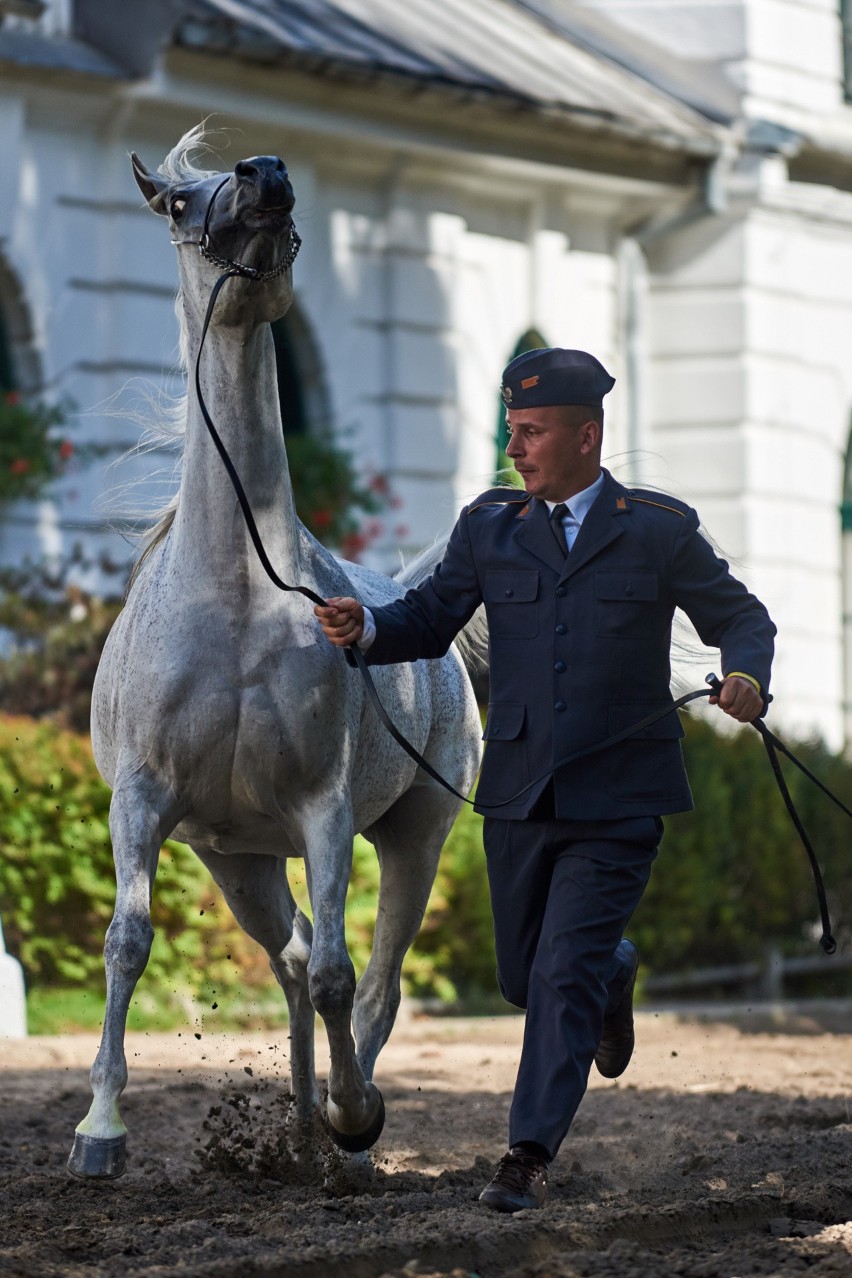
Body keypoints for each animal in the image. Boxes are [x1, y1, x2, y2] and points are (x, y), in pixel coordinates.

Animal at [68, 129, 480, 1175]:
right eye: (179, 201)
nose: (266, 177)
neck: (235, 600)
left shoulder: (323, 810)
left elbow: (339, 973)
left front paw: (354, 1114)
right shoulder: (145, 800)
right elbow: (128, 942)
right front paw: (99, 1131)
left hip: (415, 835)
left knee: (370, 979)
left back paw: (345, 1123)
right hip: (240, 861)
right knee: (290, 955)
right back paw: (298, 1124)